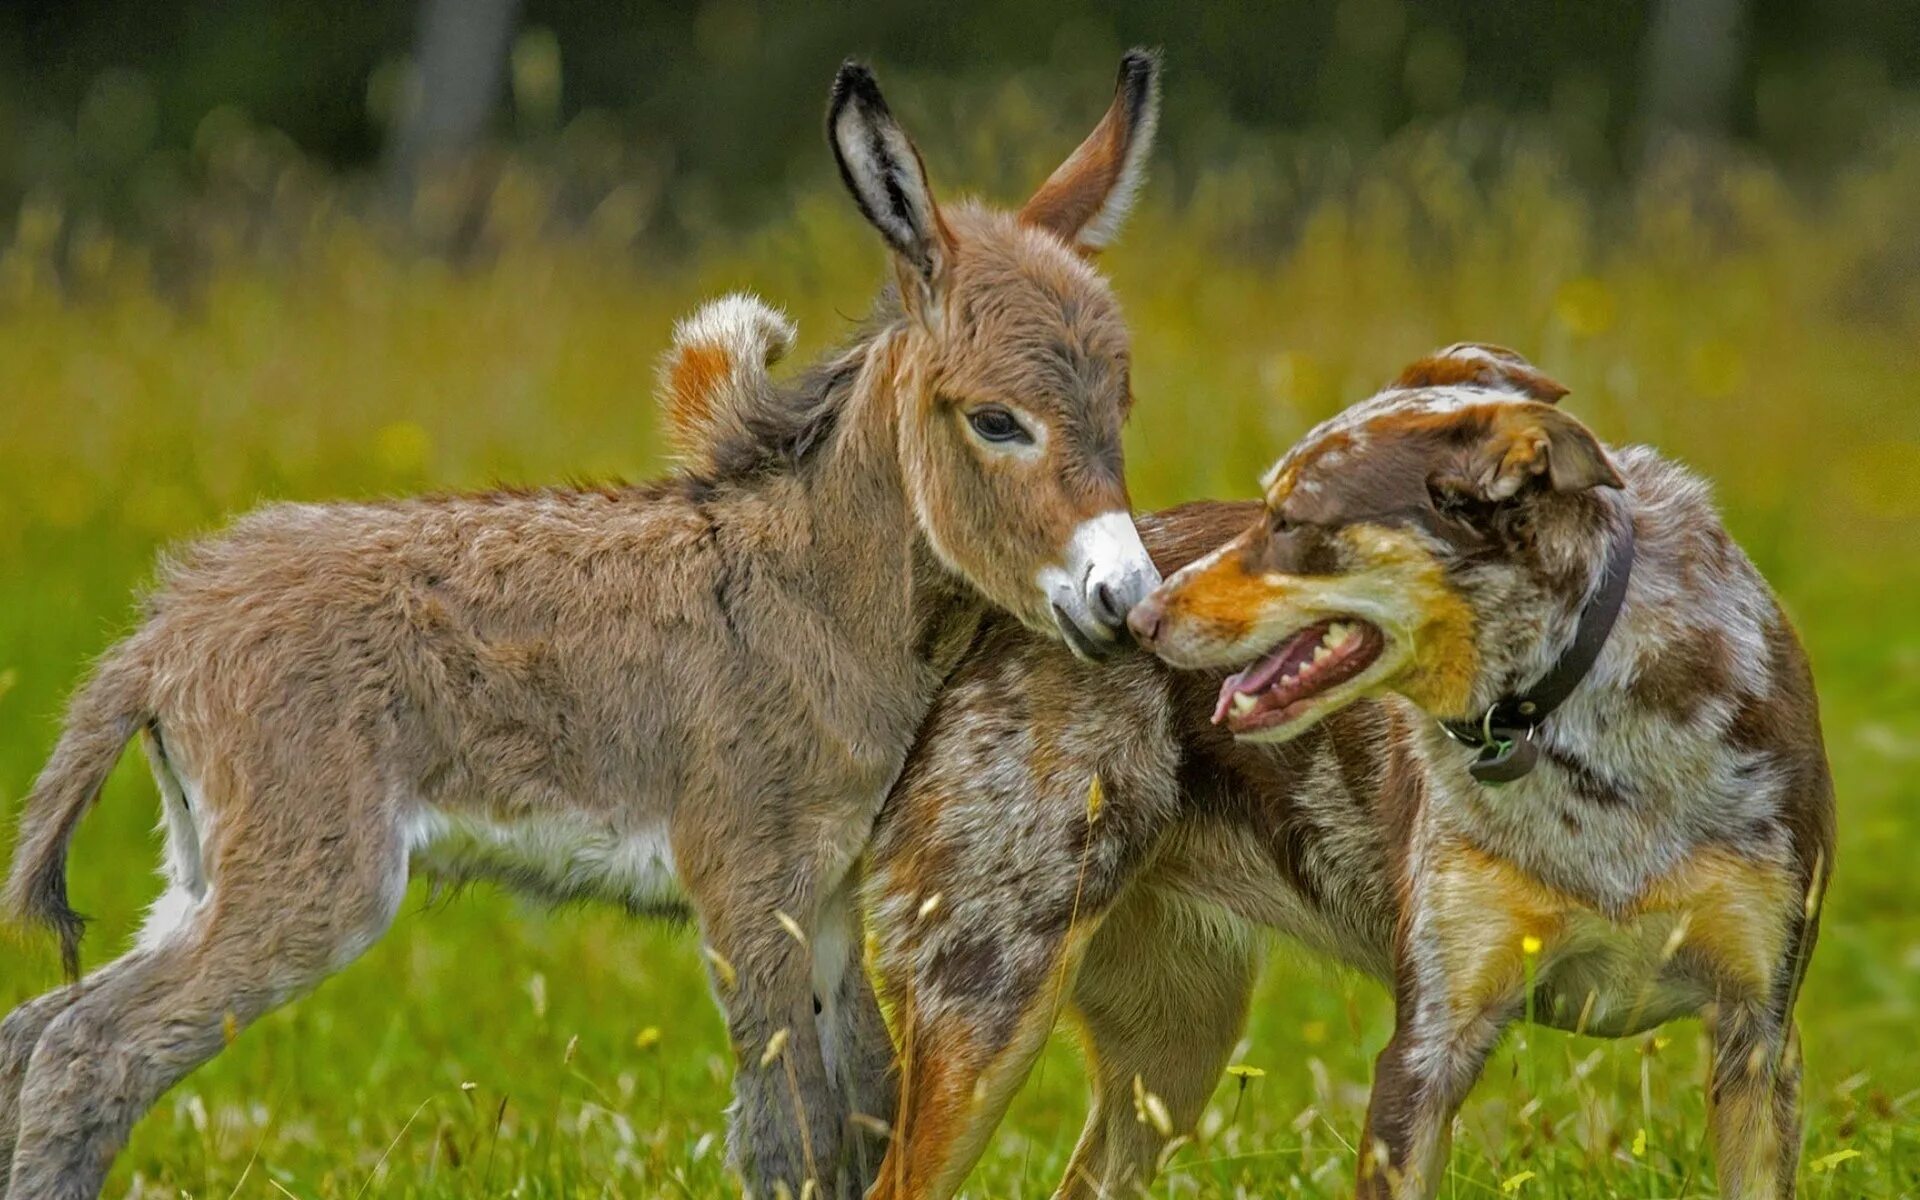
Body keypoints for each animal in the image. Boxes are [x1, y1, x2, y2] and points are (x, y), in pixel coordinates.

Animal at [3, 51, 1167, 1190]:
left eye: (1121, 408)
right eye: (997, 422)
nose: (1129, 598)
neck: (817, 596)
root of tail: (166, 631)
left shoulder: (831, 891)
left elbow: (868, 1115)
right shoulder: (748, 882)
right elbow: (791, 1135)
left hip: (206, 873)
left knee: (36, 1029)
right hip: (312, 882)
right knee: (89, 1052)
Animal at [860, 341, 1827, 1190]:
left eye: (1292, 522)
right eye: (1262, 508)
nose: (1135, 620)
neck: (1571, 728)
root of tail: (999, 618)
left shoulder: (1757, 1037)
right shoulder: (1427, 1048)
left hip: (1175, 1046)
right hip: (987, 1012)